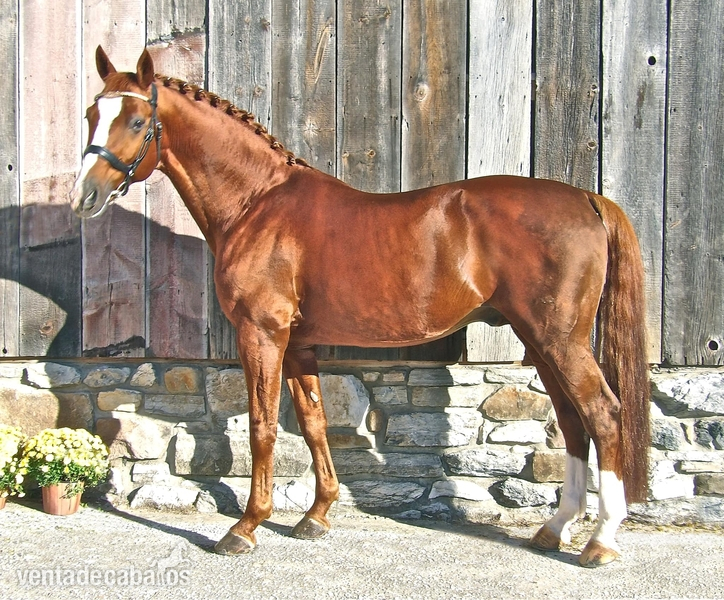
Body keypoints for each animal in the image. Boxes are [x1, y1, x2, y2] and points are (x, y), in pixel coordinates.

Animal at [70, 46, 650, 567]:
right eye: (92, 115)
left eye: (137, 120)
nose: (83, 197)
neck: (257, 203)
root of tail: (587, 198)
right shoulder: (297, 343)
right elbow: (313, 423)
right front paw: (316, 516)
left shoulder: (262, 333)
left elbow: (262, 426)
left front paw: (246, 527)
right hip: (540, 339)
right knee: (573, 422)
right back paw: (554, 529)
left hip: (559, 338)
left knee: (603, 413)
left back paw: (601, 542)